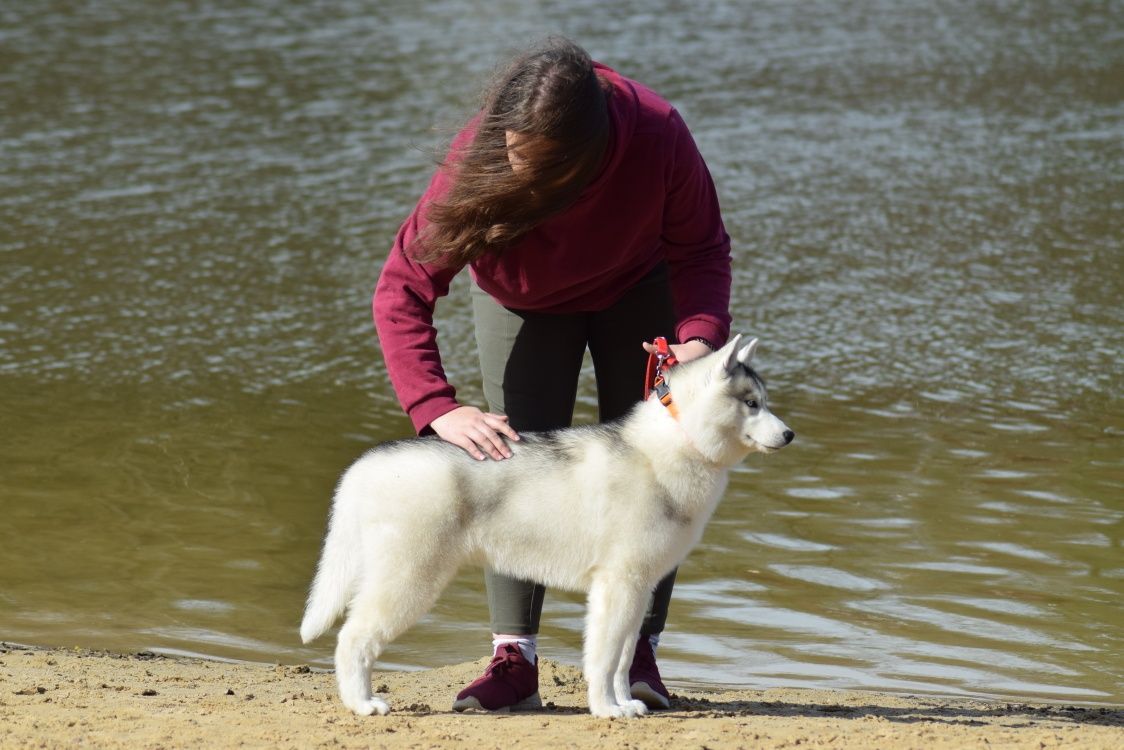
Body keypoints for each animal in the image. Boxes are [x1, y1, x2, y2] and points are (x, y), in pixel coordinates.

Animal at [298, 337, 791, 719]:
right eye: (751, 403)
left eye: (765, 402)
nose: (789, 435)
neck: (671, 446)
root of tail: (368, 463)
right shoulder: (618, 585)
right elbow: (605, 657)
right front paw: (606, 709)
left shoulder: (635, 588)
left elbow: (621, 658)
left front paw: (624, 703)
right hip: (408, 579)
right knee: (352, 638)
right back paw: (362, 704)